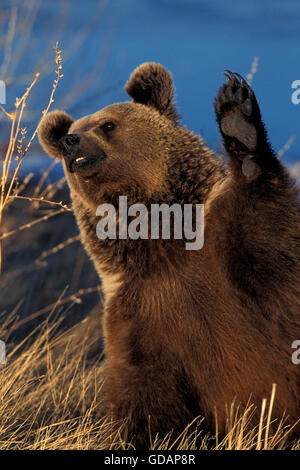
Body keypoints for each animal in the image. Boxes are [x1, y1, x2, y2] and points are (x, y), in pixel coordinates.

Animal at [38, 62, 300, 448]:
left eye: (107, 124)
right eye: (68, 134)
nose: (71, 143)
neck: (161, 247)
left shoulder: (234, 255)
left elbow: (265, 224)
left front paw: (239, 121)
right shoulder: (138, 317)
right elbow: (146, 396)